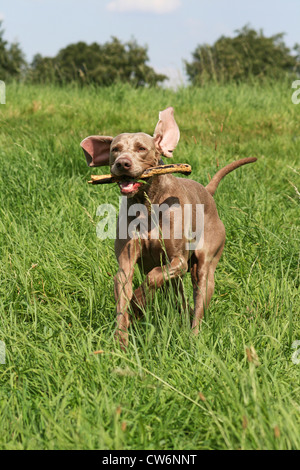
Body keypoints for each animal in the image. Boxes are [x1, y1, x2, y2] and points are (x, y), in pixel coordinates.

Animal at [80, 108, 255, 346]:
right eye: (115, 149)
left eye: (141, 148)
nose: (122, 163)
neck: (148, 203)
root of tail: (207, 192)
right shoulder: (126, 265)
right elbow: (124, 294)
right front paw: (120, 340)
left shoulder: (178, 261)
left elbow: (152, 278)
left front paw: (137, 303)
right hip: (176, 282)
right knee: (179, 298)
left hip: (205, 265)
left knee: (199, 296)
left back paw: (193, 336)